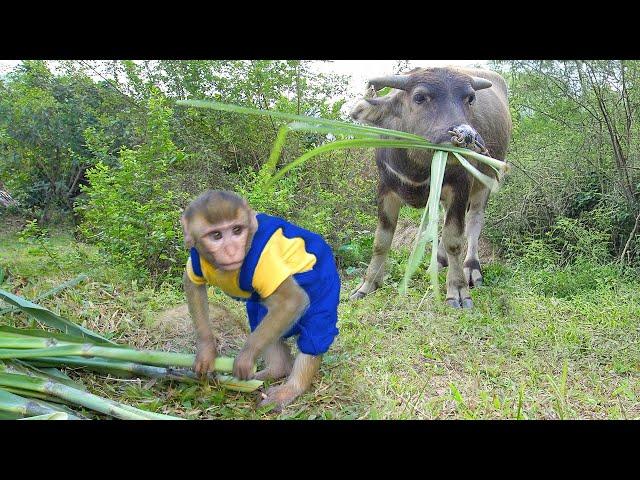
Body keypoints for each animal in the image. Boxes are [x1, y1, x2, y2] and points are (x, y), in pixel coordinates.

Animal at [180, 189, 340, 410]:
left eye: (237, 230)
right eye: (216, 235)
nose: (231, 251)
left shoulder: (266, 263)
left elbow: (292, 301)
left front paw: (246, 357)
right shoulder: (198, 258)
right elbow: (193, 284)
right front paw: (206, 350)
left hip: (323, 279)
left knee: (316, 329)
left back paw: (292, 388)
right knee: (261, 316)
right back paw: (276, 370)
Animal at [348, 65, 512, 310]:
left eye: (470, 98)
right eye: (419, 97)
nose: (468, 137)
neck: (416, 167)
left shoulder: (460, 188)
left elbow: (455, 239)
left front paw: (458, 291)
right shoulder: (385, 188)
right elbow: (381, 240)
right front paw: (367, 285)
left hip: (486, 180)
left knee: (474, 221)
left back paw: (471, 269)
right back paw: (437, 262)